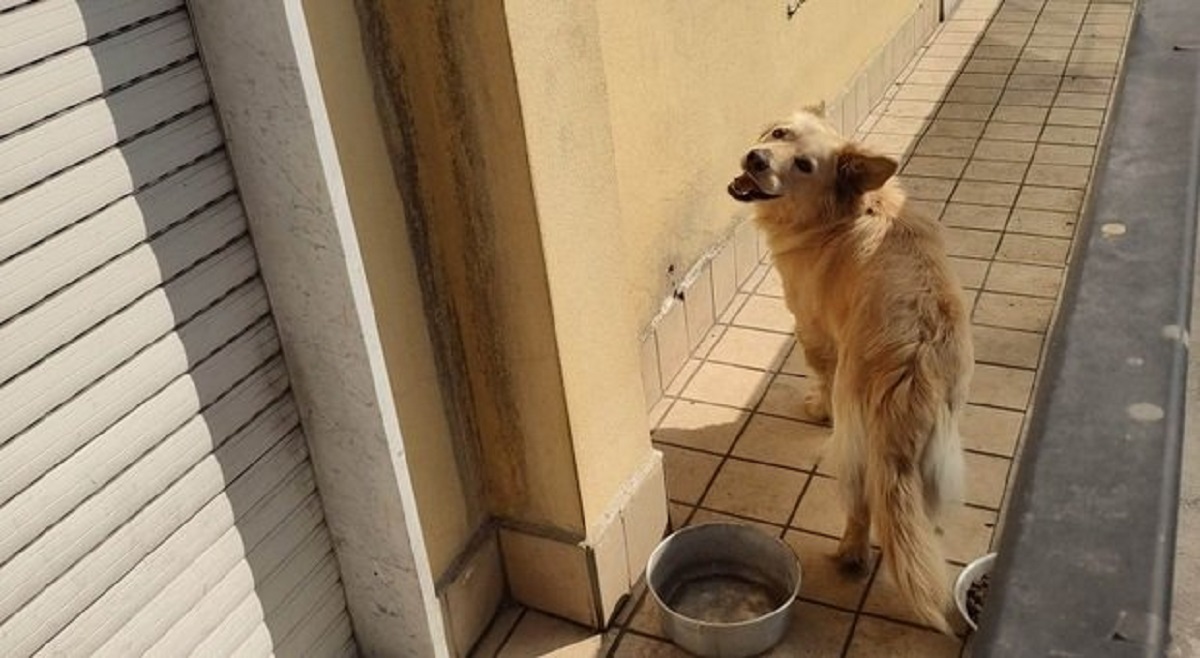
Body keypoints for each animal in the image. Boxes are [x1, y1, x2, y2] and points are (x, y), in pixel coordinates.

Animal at [724, 108, 969, 633]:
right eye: (780, 133)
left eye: (804, 166)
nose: (756, 159)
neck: (841, 213)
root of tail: (914, 362)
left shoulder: (813, 328)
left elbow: (819, 373)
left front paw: (817, 407)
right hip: (936, 452)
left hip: (856, 445)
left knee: (863, 507)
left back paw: (851, 555)